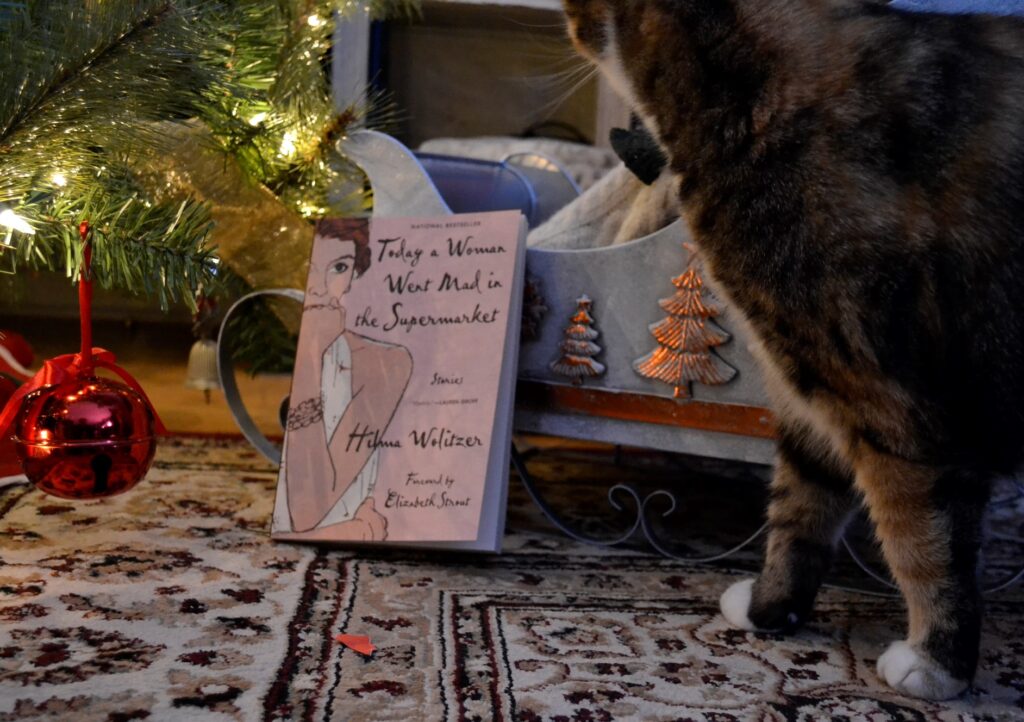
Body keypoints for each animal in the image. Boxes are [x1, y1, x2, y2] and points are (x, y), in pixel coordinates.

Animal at [565, 0, 1024, 700]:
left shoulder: (889, 399)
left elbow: (923, 538)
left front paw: (936, 663)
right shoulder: (811, 385)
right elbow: (798, 509)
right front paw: (770, 610)